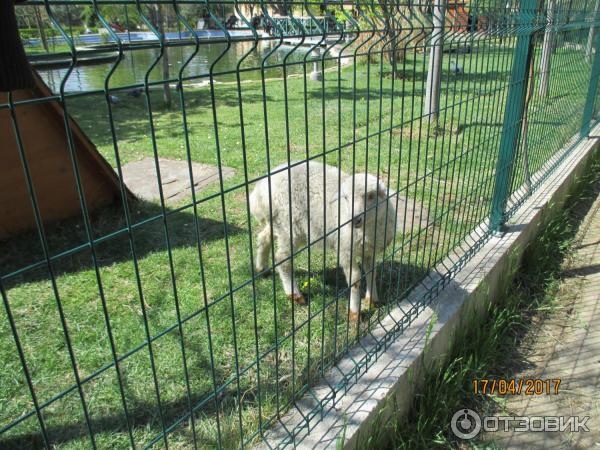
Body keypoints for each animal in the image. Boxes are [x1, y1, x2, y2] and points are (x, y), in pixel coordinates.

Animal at [250, 161, 396, 320]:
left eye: (371, 196)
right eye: (346, 198)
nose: (354, 219)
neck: (367, 229)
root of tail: (261, 188)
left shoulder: (369, 250)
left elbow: (371, 272)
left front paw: (373, 300)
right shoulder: (345, 249)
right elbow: (355, 279)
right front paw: (354, 313)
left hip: (278, 223)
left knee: (264, 238)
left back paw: (262, 269)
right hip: (289, 225)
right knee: (282, 259)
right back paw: (294, 294)